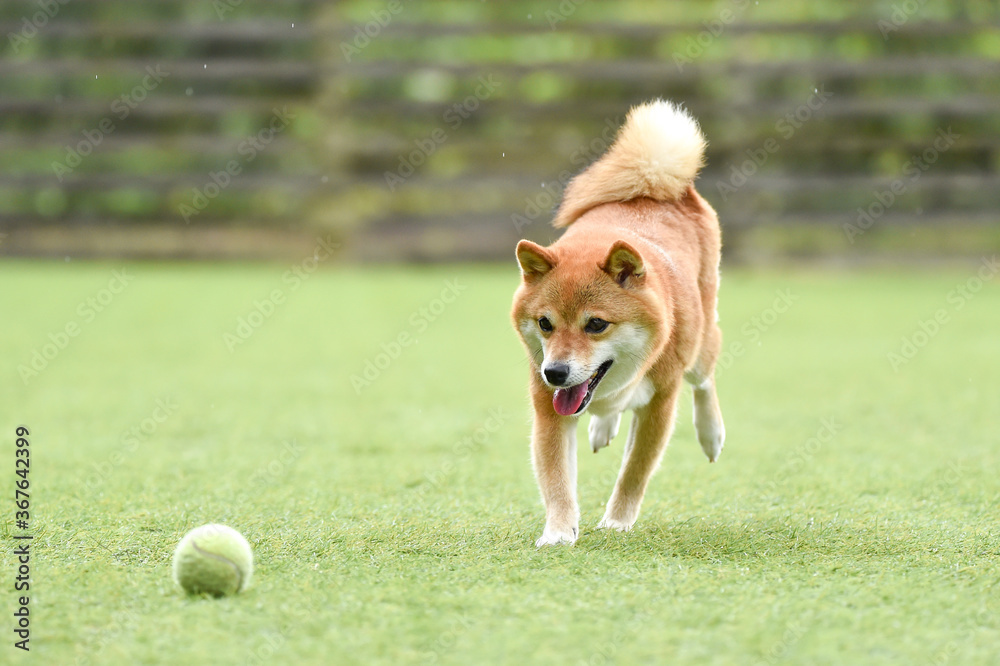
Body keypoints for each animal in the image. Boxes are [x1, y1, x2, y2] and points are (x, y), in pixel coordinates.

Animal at [512, 98, 724, 544]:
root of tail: (653, 186)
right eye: (544, 324)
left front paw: (616, 522)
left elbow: (634, 471)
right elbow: (556, 480)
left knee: (705, 380)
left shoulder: (660, 404)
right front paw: (559, 532)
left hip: (698, 346)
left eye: (596, 325)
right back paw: (602, 426)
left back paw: (711, 433)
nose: (555, 373)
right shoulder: (548, 410)